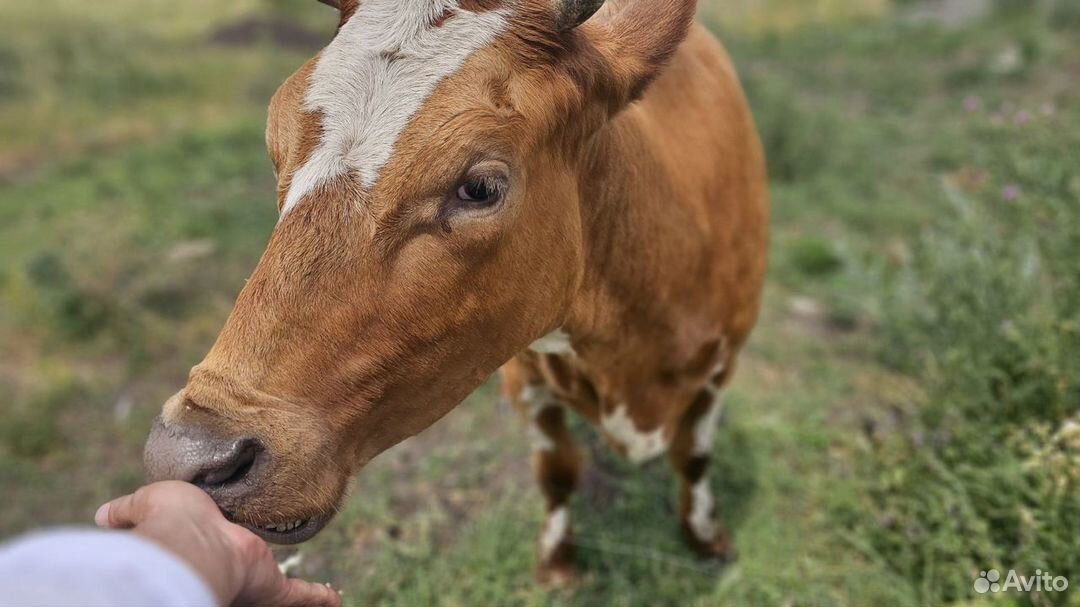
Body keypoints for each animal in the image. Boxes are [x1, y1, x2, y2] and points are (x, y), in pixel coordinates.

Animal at [143, 0, 768, 583]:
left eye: (481, 187)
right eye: (275, 144)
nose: (187, 453)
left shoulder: (723, 362)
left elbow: (694, 457)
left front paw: (708, 540)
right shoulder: (524, 375)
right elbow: (558, 470)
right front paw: (557, 564)